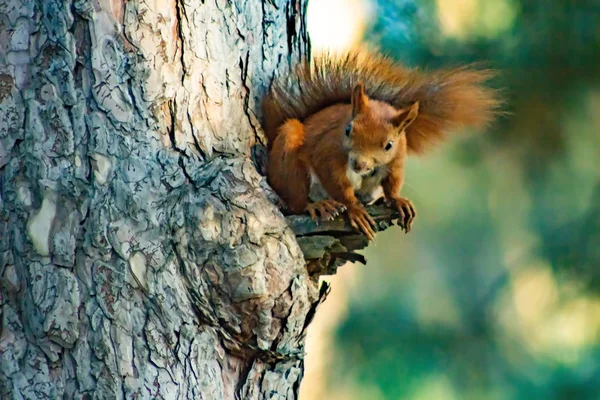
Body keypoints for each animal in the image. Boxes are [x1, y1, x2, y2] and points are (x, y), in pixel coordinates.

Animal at [262, 51, 502, 239]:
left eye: (388, 145)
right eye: (348, 130)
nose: (358, 164)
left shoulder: (397, 160)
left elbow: (393, 183)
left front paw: (396, 200)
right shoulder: (327, 153)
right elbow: (337, 183)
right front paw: (355, 209)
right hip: (289, 156)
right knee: (295, 199)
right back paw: (316, 205)